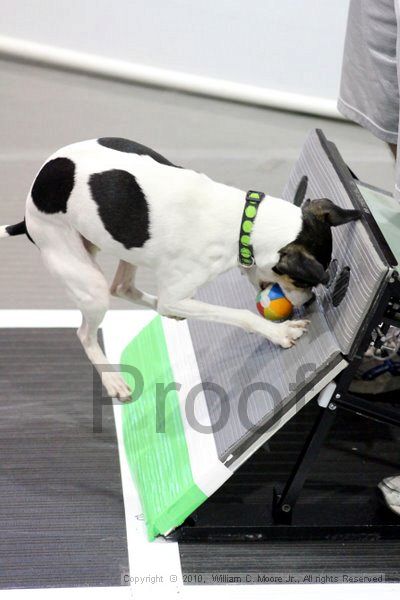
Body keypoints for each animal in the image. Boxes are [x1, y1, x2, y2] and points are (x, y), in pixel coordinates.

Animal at [0, 137, 360, 398]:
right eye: (299, 280)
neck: (242, 222)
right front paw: (279, 332)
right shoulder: (180, 292)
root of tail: (27, 215)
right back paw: (113, 379)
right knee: (87, 332)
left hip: (122, 248)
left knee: (125, 288)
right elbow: (240, 315)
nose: (309, 302)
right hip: (88, 283)